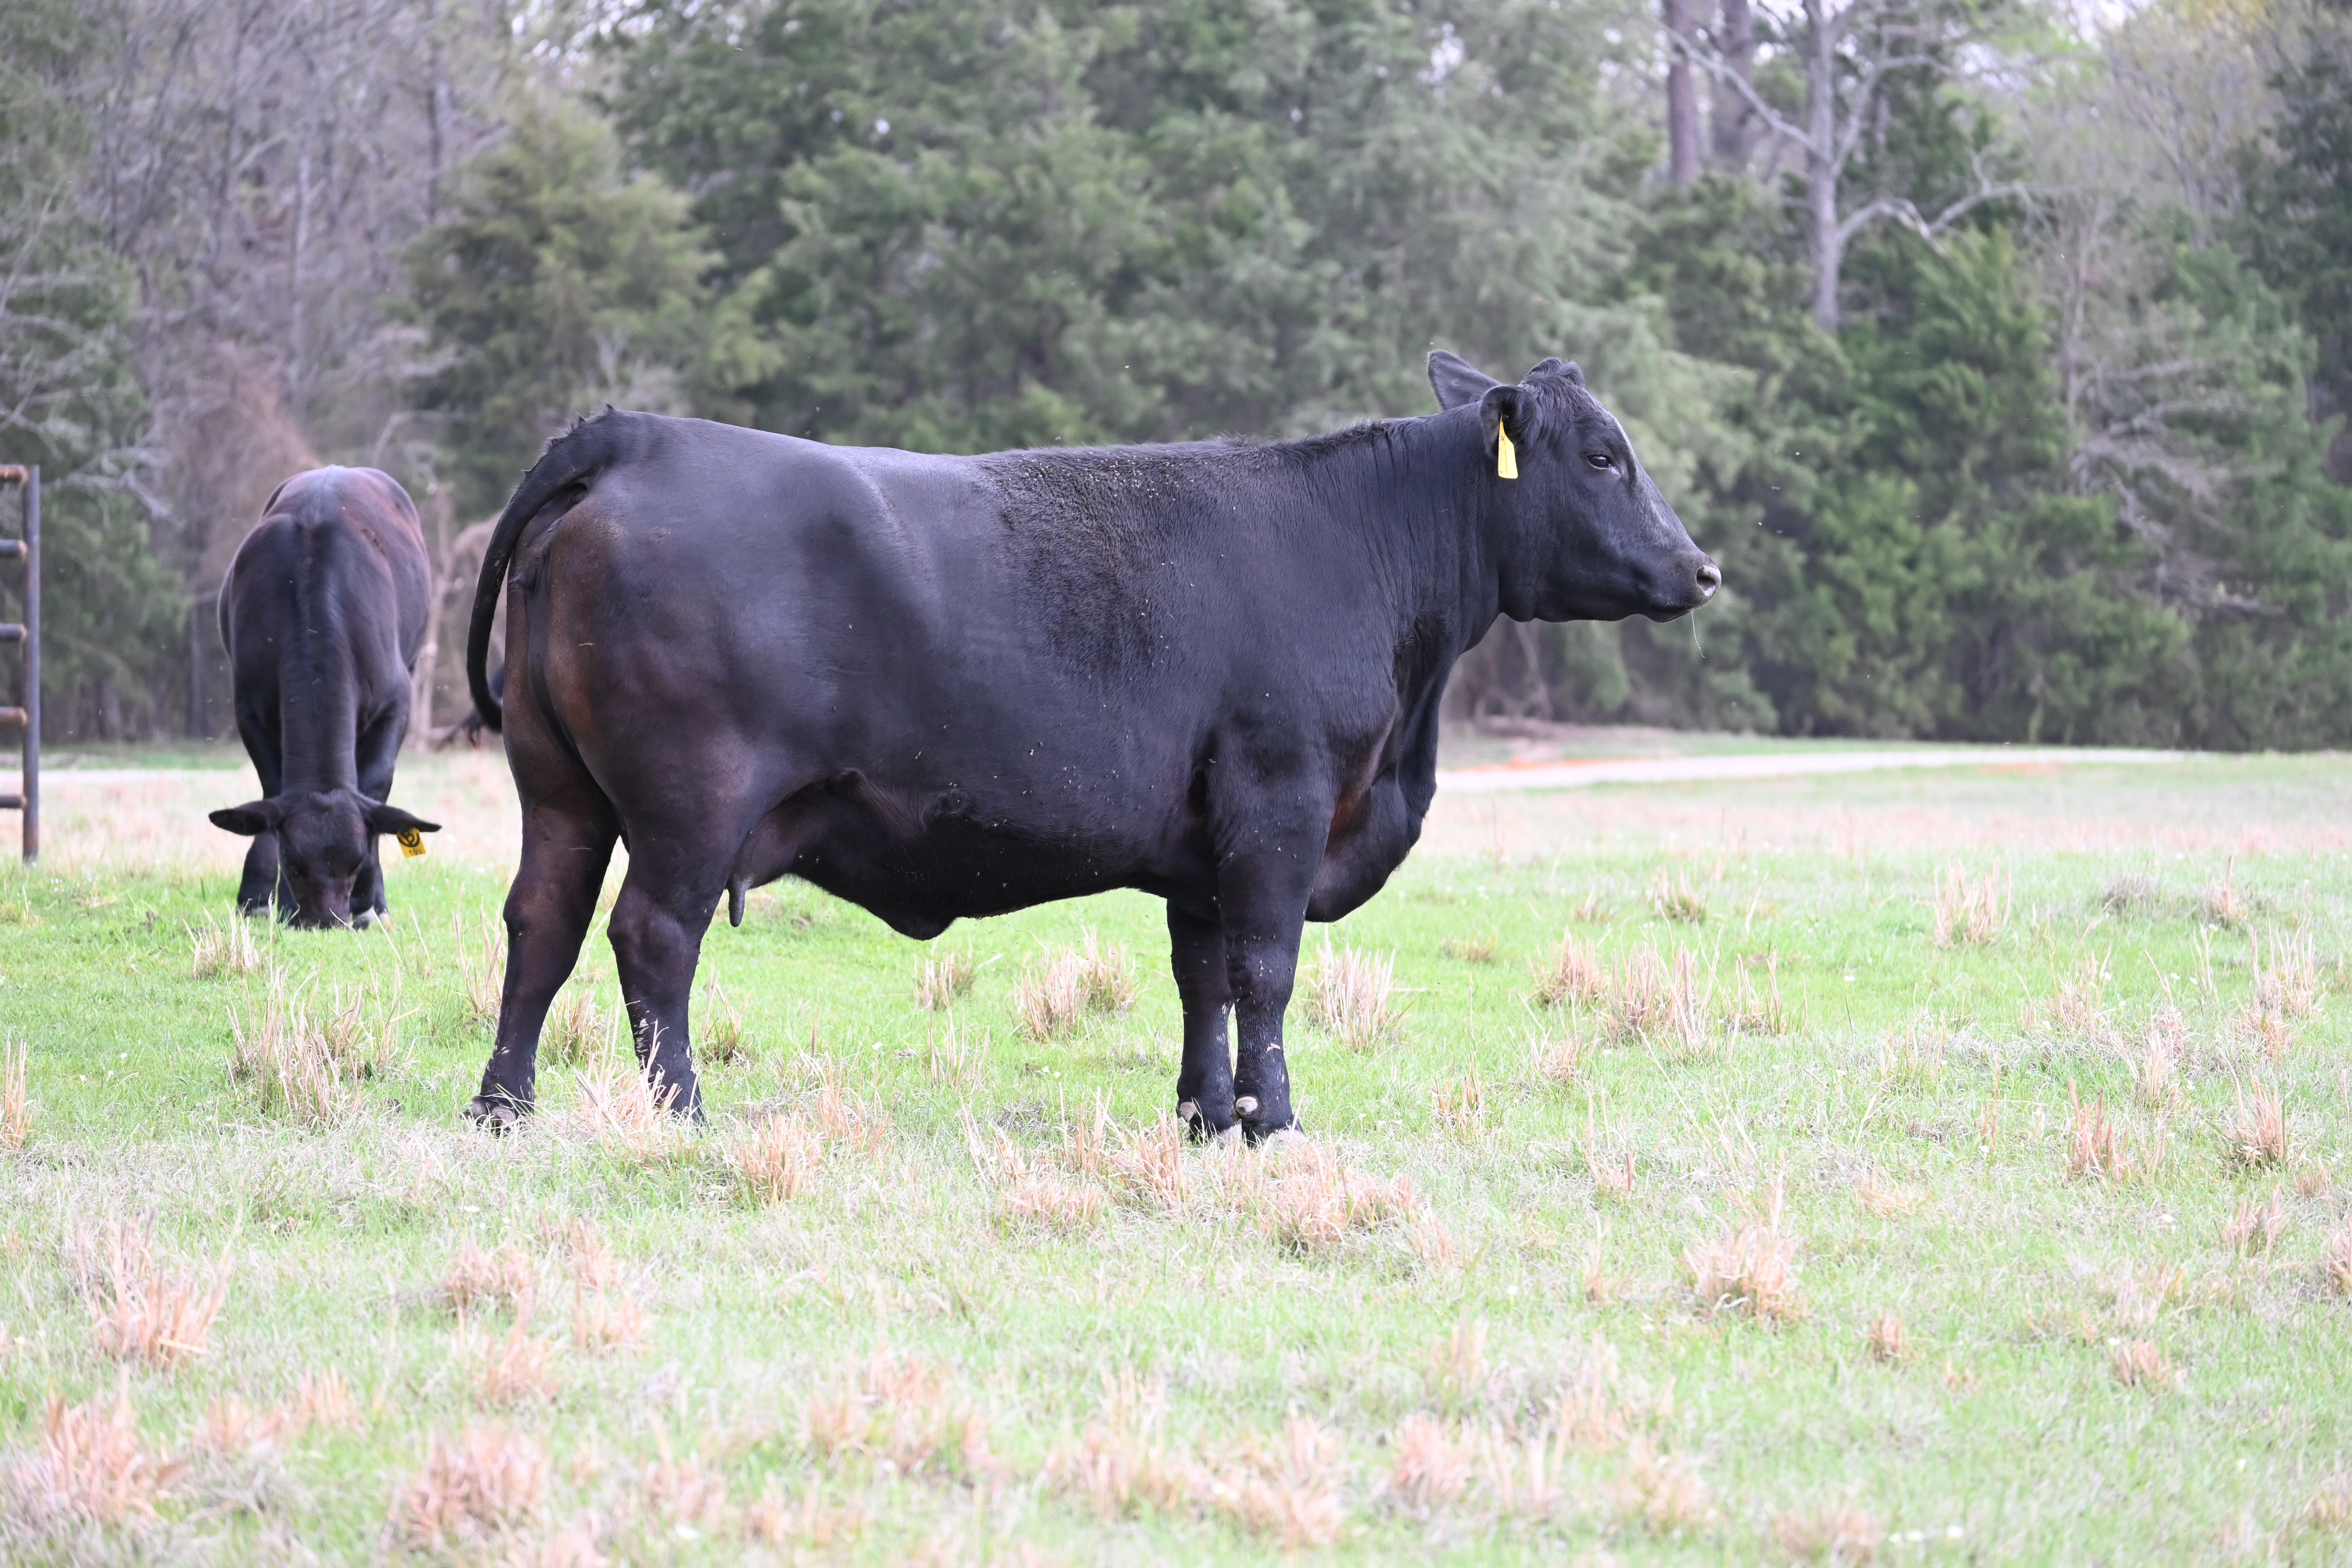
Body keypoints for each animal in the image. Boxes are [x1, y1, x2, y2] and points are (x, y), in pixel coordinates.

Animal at [209, 466, 443, 928]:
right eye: (294, 863)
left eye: (357, 864)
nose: (325, 921)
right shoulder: (248, 706)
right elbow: (271, 788)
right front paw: (271, 898)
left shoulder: (397, 702)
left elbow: (376, 786)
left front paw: (372, 902)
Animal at [460, 352, 1719, 1136]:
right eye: (1602, 457)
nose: (1701, 569)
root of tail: (636, 437)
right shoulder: (1280, 802)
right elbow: (1265, 973)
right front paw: (1278, 1124)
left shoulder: (1205, 847)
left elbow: (1201, 977)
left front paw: (1209, 1116)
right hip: (691, 803)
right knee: (649, 938)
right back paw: (681, 1113)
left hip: (558, 790)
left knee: (541, 925)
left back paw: (502, 1108)